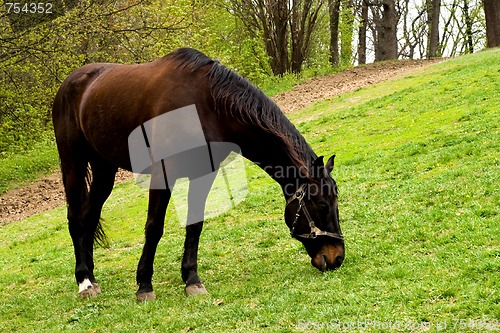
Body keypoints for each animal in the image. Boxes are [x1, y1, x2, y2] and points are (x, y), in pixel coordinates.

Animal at [53, 47, 344, 300]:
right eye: (320, 204)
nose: (337, 257)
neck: (206, 106)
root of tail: (71, 82)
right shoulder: (163, 174)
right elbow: (154, 227)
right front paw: (144, 284)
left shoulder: (204, 175)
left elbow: (195, 225)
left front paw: (191, 280)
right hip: (73, 163)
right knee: (75, 218)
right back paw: (84, 280)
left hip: (104, 168)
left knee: (90, 217)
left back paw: (91, 276)